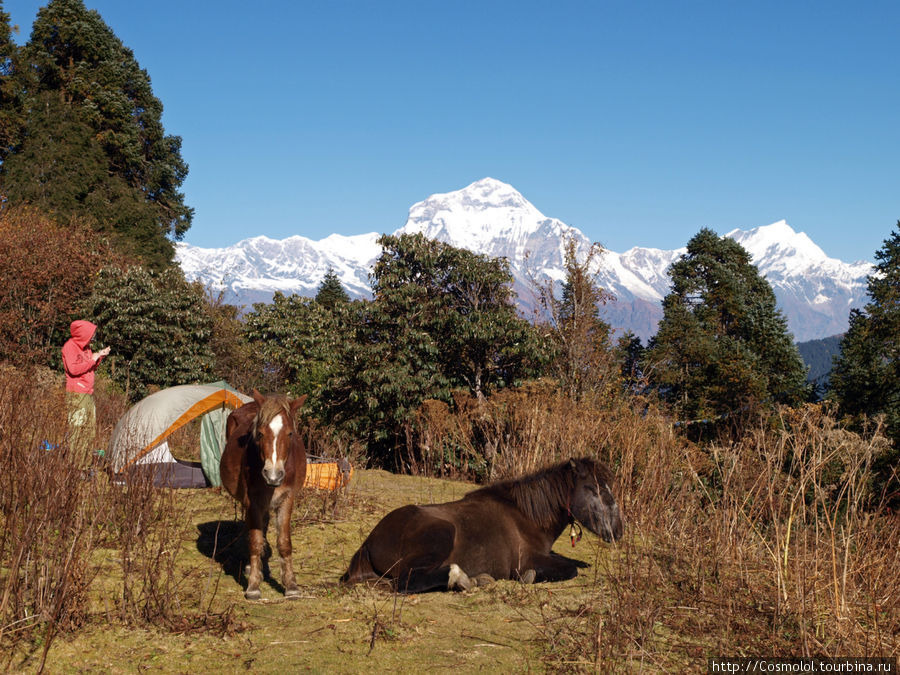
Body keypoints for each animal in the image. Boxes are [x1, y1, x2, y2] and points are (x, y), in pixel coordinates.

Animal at [221, 390, 310, 604]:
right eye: (260, 433)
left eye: (290, 433)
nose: (273, 475)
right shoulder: (252, 502)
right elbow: (254, 541)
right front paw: (253, 585)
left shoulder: (286, 501)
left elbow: (284, 543)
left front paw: (291, 586)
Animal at [342, 456, 624, 596]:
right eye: (594, 489)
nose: (618, 529)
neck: (526, 517)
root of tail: (369, 541)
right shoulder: (527, 560)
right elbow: (568, 569)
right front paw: (531, 577)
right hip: (441, 534)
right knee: (407, 582)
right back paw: (462, 579)